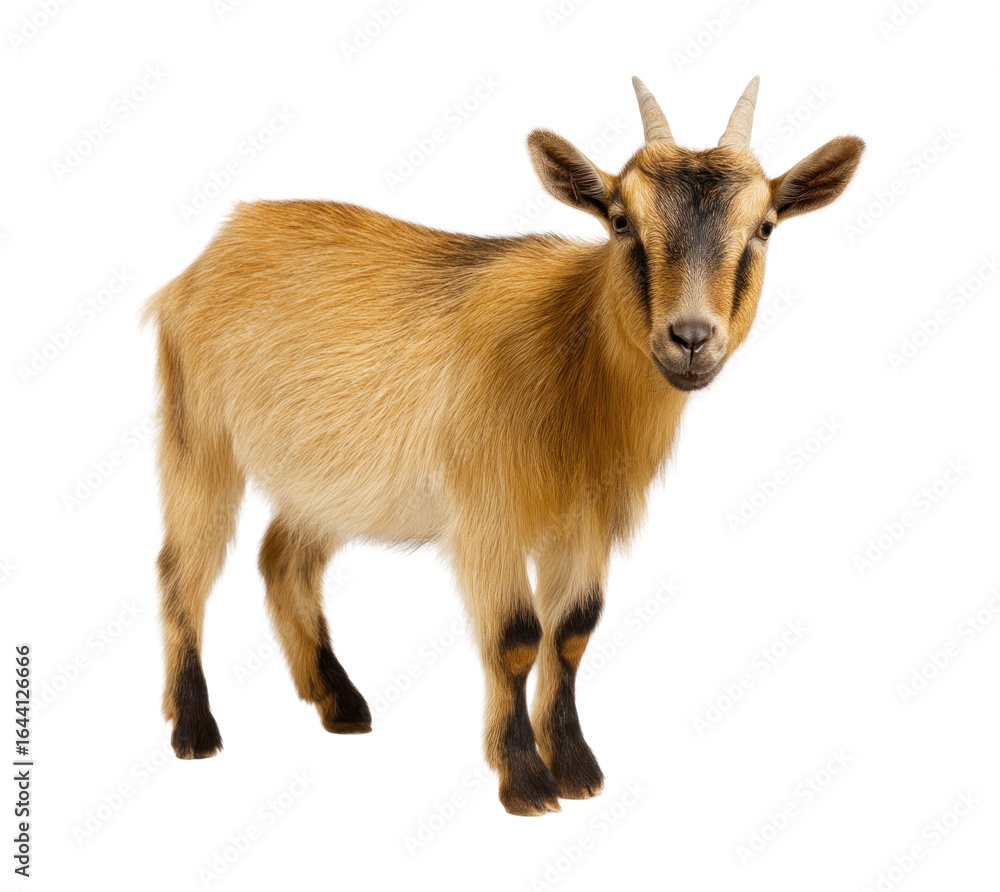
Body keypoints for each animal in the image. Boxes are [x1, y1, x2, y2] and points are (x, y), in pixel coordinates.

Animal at [144, 75, 863, 815]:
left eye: (765, 226)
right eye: (621, 219)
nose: (690, 338)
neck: (569, 350)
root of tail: (213, 251)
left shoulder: (585, 519)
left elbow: (572, 632)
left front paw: (576, 767)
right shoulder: (488, 515)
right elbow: (516, 637)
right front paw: (524, 780)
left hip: (327, 478)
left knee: (283, 558)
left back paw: (340, 703)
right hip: (198, 434)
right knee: (184, 568)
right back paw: (194, 728)